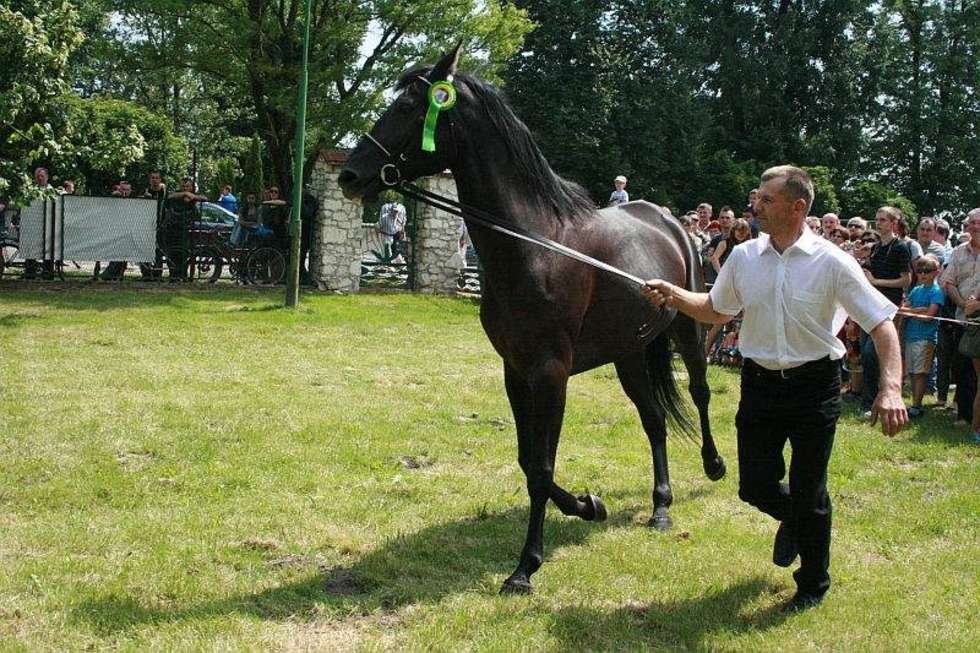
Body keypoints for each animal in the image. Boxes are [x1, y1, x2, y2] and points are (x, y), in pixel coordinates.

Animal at [340, 47, 724, 596]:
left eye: (411, 107)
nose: (350, 176)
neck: (534, 245)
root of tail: (669, 221)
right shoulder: (516, 371)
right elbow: (528, 461)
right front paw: (587, 505)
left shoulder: (551, 373)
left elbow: (541, 467)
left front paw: (526, 566)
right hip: (629, 354)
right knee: (653, 421)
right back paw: (660, 507)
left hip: (688, 332)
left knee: (699, 394)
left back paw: (713, 466)